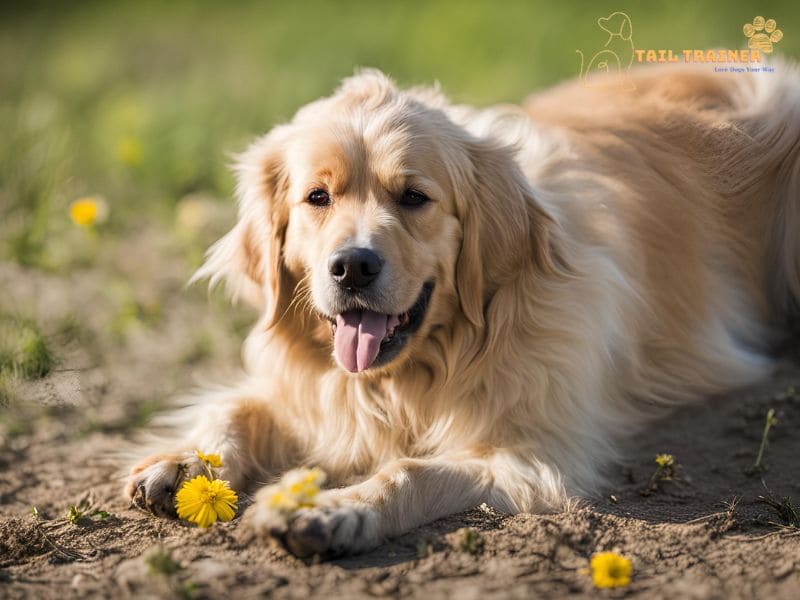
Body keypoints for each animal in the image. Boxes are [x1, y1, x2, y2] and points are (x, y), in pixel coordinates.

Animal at [125, 63, 800, 556]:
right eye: (317, 197)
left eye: (414, 197)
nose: (352, 266)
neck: (412, 376)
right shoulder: (315, 392)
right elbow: (234, 409)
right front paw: (185, 463)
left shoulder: (532, 457)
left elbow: (410, 471)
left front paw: (334, 508)